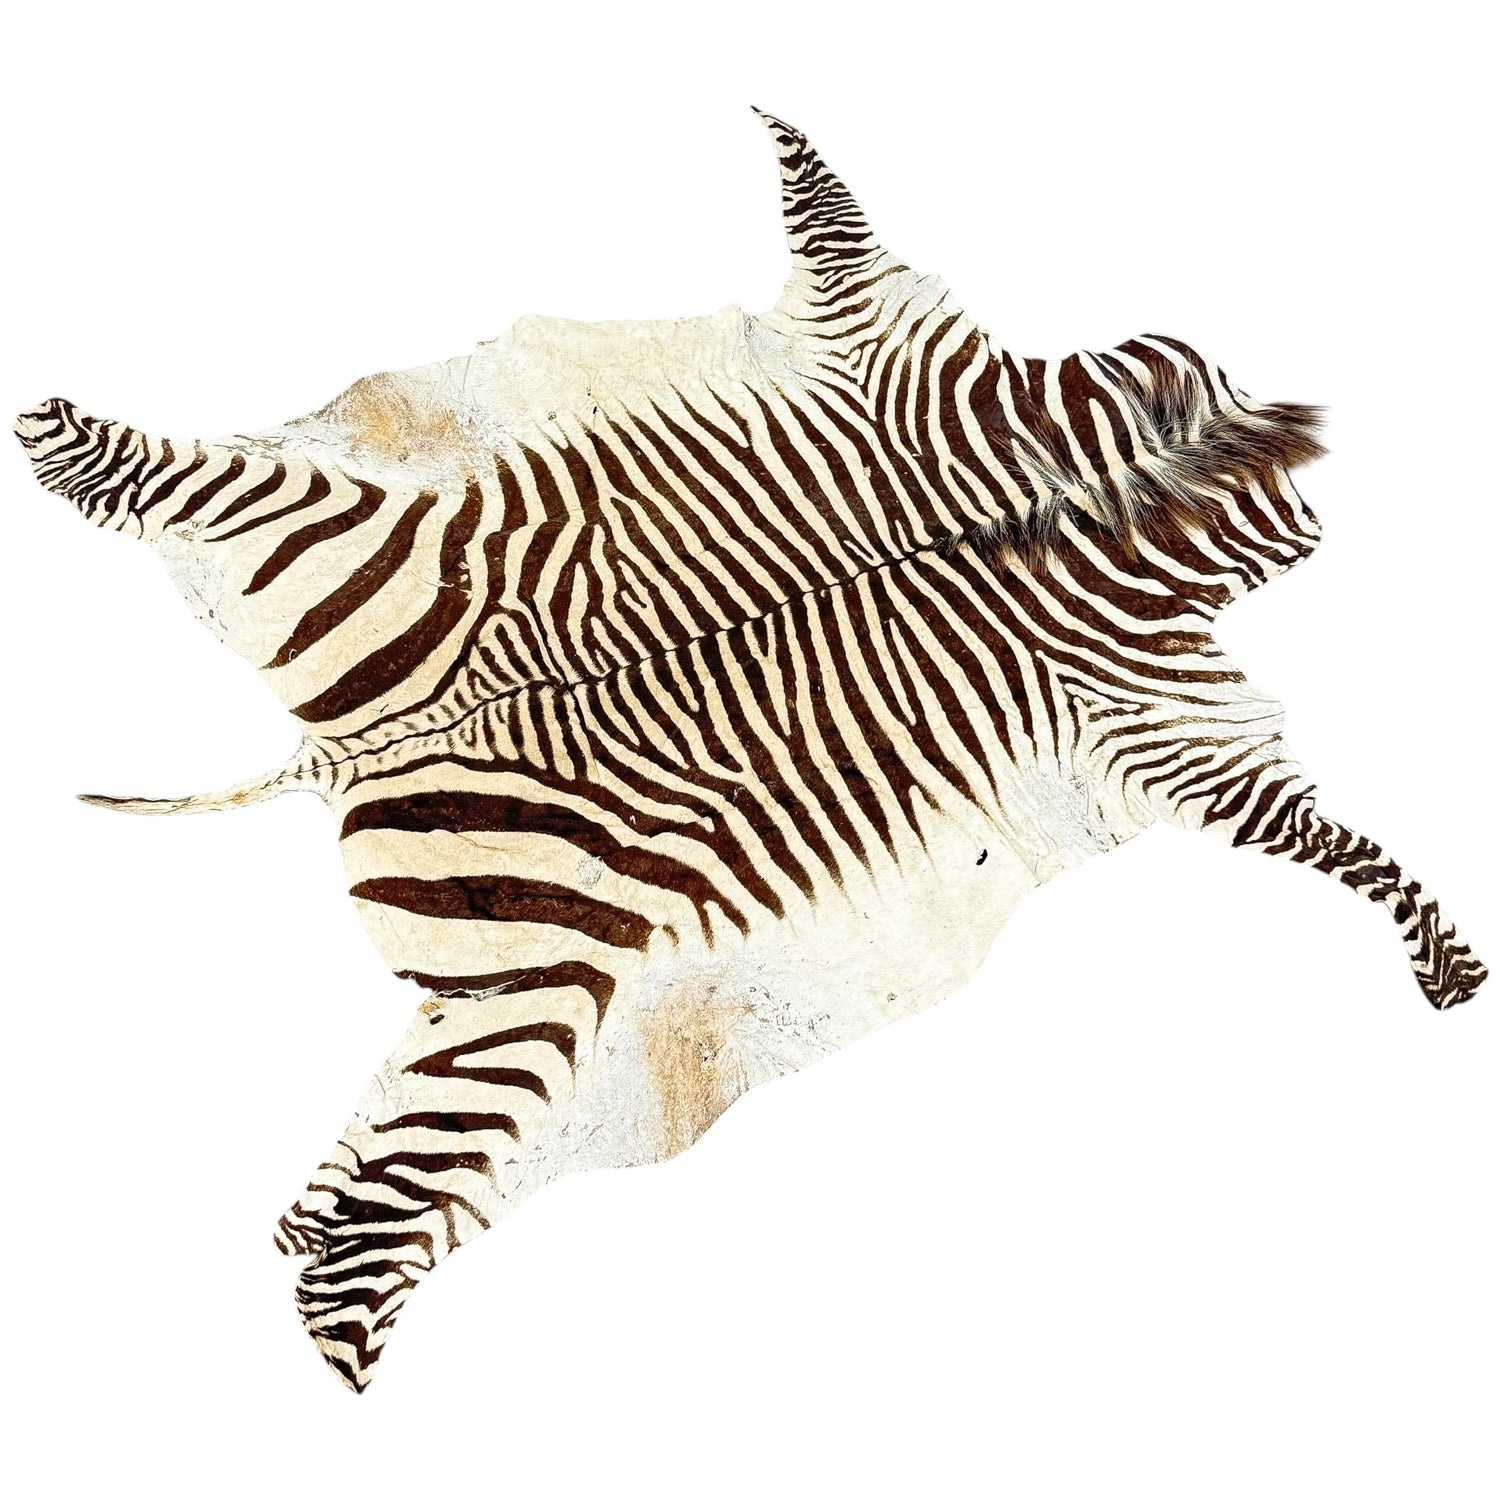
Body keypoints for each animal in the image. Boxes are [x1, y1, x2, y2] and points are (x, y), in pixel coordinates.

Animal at [13, 109, 1486, 1391]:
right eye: (1276, 472)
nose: (1305, 467)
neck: (1090, 496)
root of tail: (360, 749)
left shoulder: (1142, 714)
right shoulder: (1145, 699)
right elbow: (1339, 842)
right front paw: (1452, 968)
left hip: (513, 955)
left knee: (359, 1193)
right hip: (506, 857)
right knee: (360, 1246)